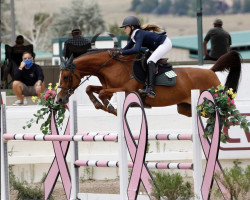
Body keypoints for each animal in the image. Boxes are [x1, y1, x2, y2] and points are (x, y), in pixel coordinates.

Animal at [56, 49, 240, 117]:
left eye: (65, 77)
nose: (59, 99)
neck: (111, 66)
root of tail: (211, 71)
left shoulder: (127, 89)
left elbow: (101, 92)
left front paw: (110, 108)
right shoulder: (109, 86)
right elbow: (90, 88)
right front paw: (99, 105)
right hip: (186, 108)